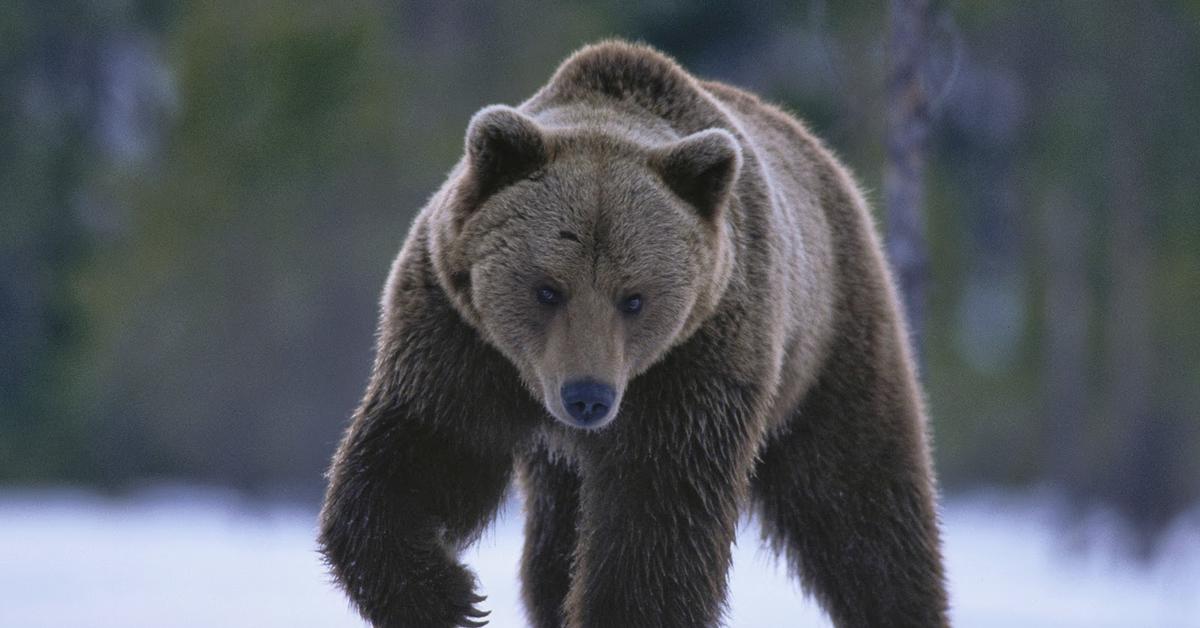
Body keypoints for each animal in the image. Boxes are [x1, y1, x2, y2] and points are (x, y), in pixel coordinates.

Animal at [319, 40, 945, 628]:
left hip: (832, 345)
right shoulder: (459, 337)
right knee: (552, 551)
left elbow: (656, 522)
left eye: (634, 298)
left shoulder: (695, 365)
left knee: (860, 509)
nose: (588, 396)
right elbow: (424, 452)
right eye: (548, 289)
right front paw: (450, 596)